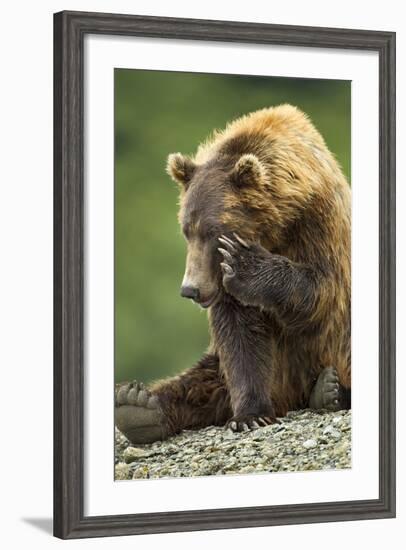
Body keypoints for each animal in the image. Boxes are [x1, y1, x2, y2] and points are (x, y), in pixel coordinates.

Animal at [116, 105, 350, 446]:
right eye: (186, 229)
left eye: (213, 231)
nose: (190, 289)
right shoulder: (221, 286)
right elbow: (240, 336)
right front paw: (250, 415)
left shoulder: (319, 225)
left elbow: (321, 289)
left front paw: (246, 263)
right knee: (205, 378)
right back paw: (137, 406)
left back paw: (330, 390)